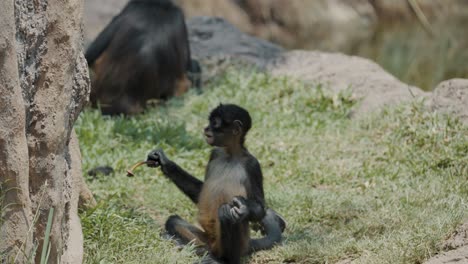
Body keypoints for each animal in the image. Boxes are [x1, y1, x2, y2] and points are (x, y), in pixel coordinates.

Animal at [146, 104, 286, 262]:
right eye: (210, 122)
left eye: (214, 123)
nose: (206, 128)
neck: (230, 155)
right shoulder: (215, 153)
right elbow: (200, 192)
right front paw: (164, 162)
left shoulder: (252, 164)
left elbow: (260, 207)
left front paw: (244, 208)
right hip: (206, 238)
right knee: (173, 220)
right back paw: (194, 249)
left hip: (237, 244)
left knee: (226, 212)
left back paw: (222, 259)